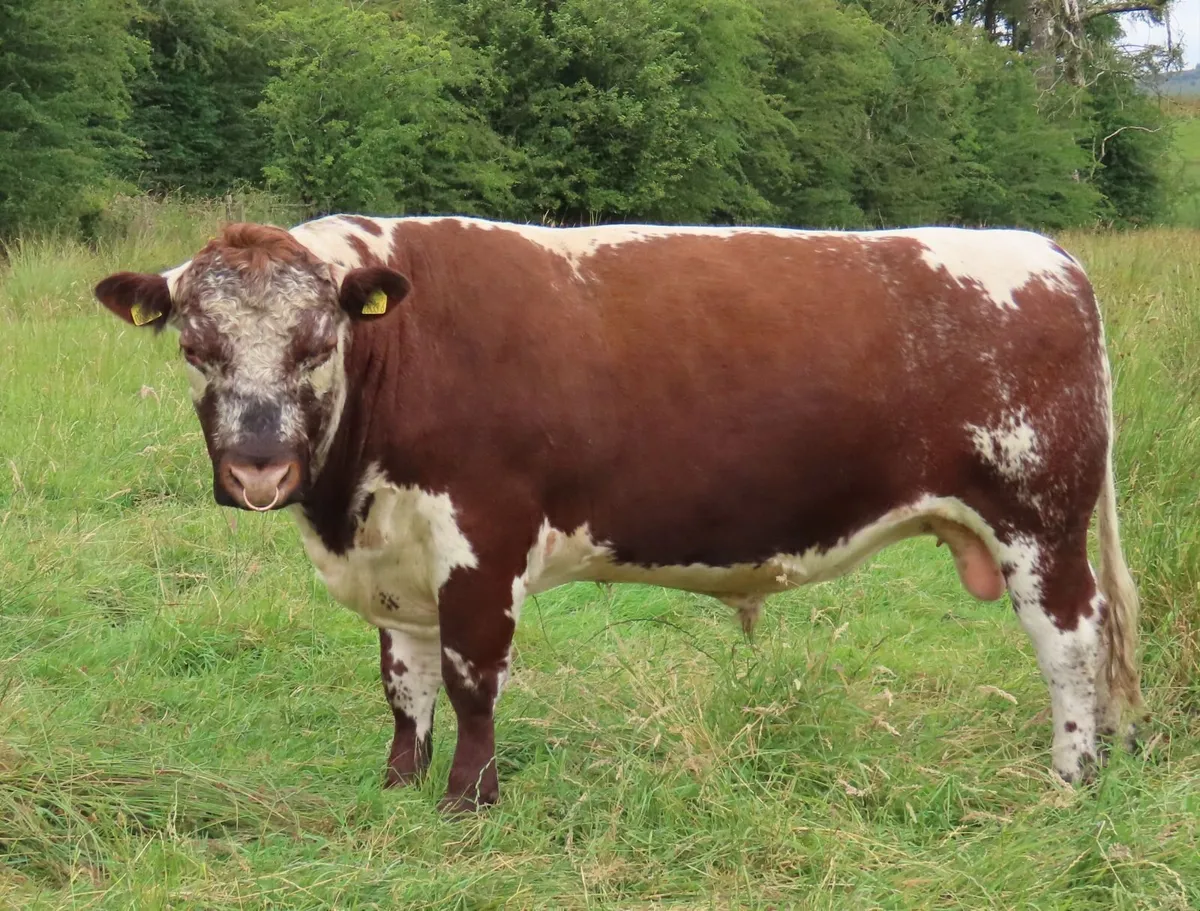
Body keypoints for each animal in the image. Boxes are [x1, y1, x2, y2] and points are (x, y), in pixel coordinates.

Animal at [94, 215, 1143, 811]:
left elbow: (472, 680)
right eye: (193, 345)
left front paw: (468, 801)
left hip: (1040, 520)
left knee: (1071, 641)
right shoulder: (396, 560)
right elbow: (405, 684)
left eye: (317, 343)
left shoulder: (482, 538)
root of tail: (1047, 251)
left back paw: (1070, 777)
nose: (258, 470)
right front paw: (397, 786)